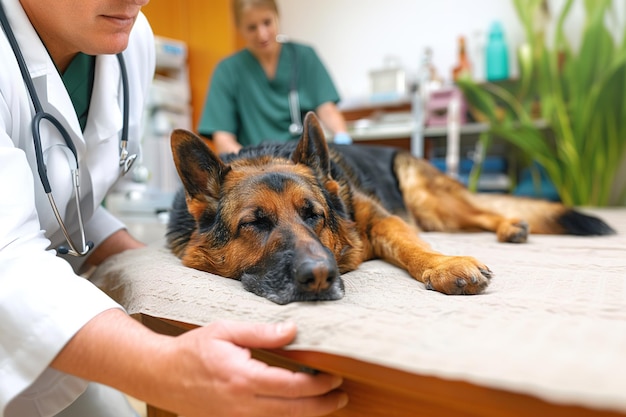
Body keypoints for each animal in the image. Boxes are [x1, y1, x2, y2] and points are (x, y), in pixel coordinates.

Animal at [165, 112, 608, 304]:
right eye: (254, 224)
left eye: (314, 215)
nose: (319, 276)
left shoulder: (381, 220)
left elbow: (412, 245)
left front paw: (443, 265)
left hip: (427, 199)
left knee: (478, 212)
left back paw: (509, 225)